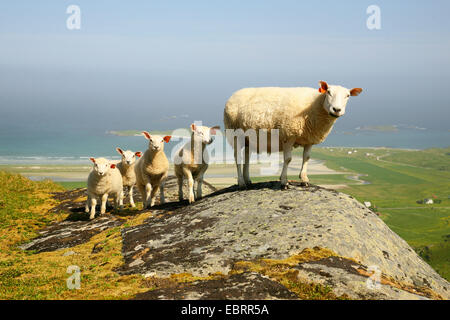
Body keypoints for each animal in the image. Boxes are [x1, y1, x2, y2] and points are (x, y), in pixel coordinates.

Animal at [224, 81, 362, 189]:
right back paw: (241, 182)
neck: (314, 105)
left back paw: (247, 180)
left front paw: (304, 179)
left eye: (348, 95)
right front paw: (284, 181)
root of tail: (234, 94)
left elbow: (306, 158)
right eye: (328, 92)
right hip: (234, 133)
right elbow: (288, 159)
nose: (336, 110)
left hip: (248, 137)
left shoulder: (309, 138)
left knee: (247, 156)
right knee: (238, 157)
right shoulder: (288, 134)